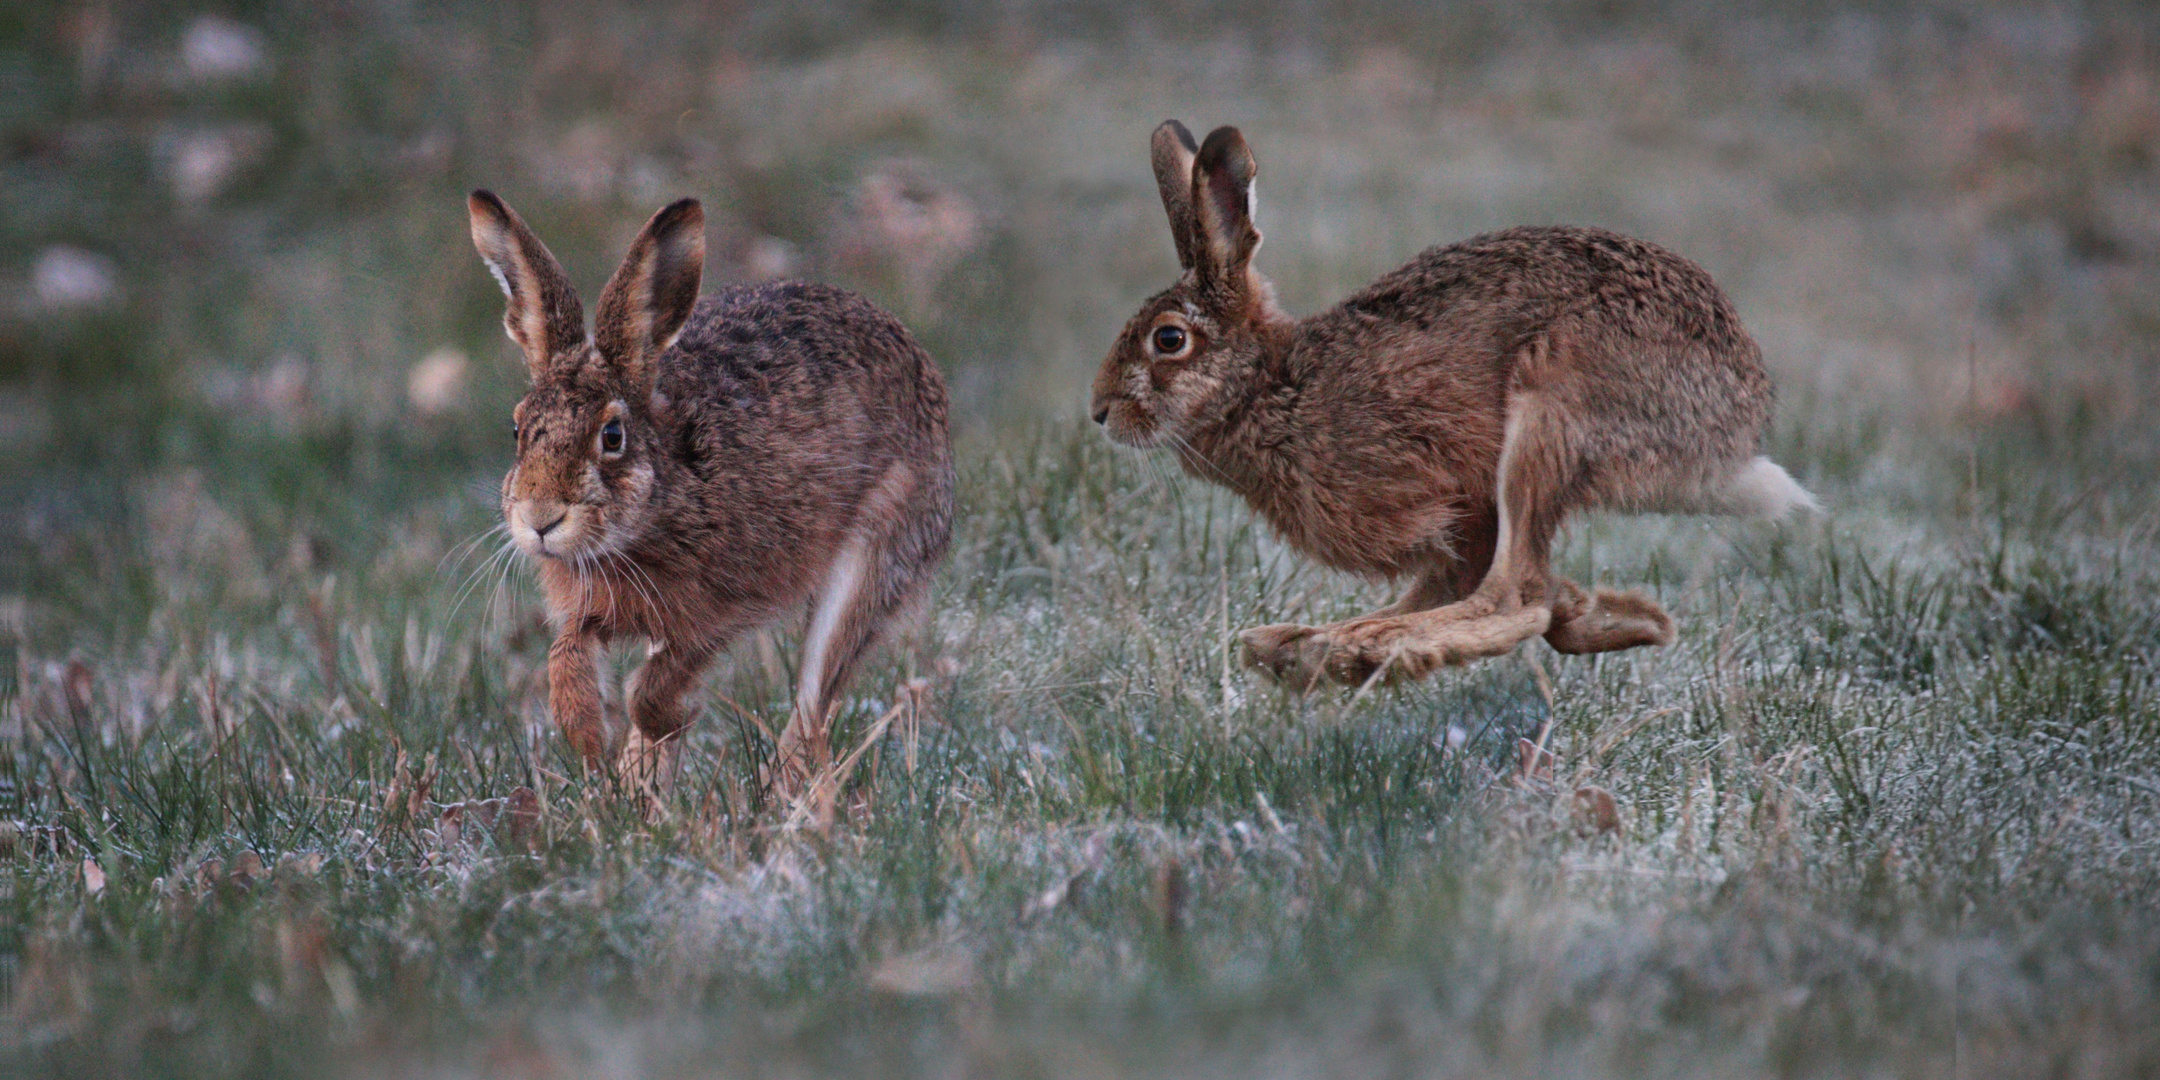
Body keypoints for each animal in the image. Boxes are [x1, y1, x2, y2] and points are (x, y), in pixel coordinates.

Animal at [467, 190, 953, 795]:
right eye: (516, 430)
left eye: (612, 436)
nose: (540, 519)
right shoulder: (592, 611)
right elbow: (567, 654)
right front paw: (590, 739)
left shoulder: (721, 611)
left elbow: (653, 690)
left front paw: (666, 723)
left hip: (883, 545)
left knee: (816, 695)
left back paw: (775, 793)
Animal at [1090, 122, 1815, 690]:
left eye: (1169, 340)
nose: (1099, 412)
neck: (1269, 385)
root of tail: (1736, 423)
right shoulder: (1463, 531)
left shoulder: (1449, 497)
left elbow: (1490, 594)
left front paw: (1350, 648)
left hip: (1551, 412)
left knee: (1514, 599)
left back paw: (1347, 648)